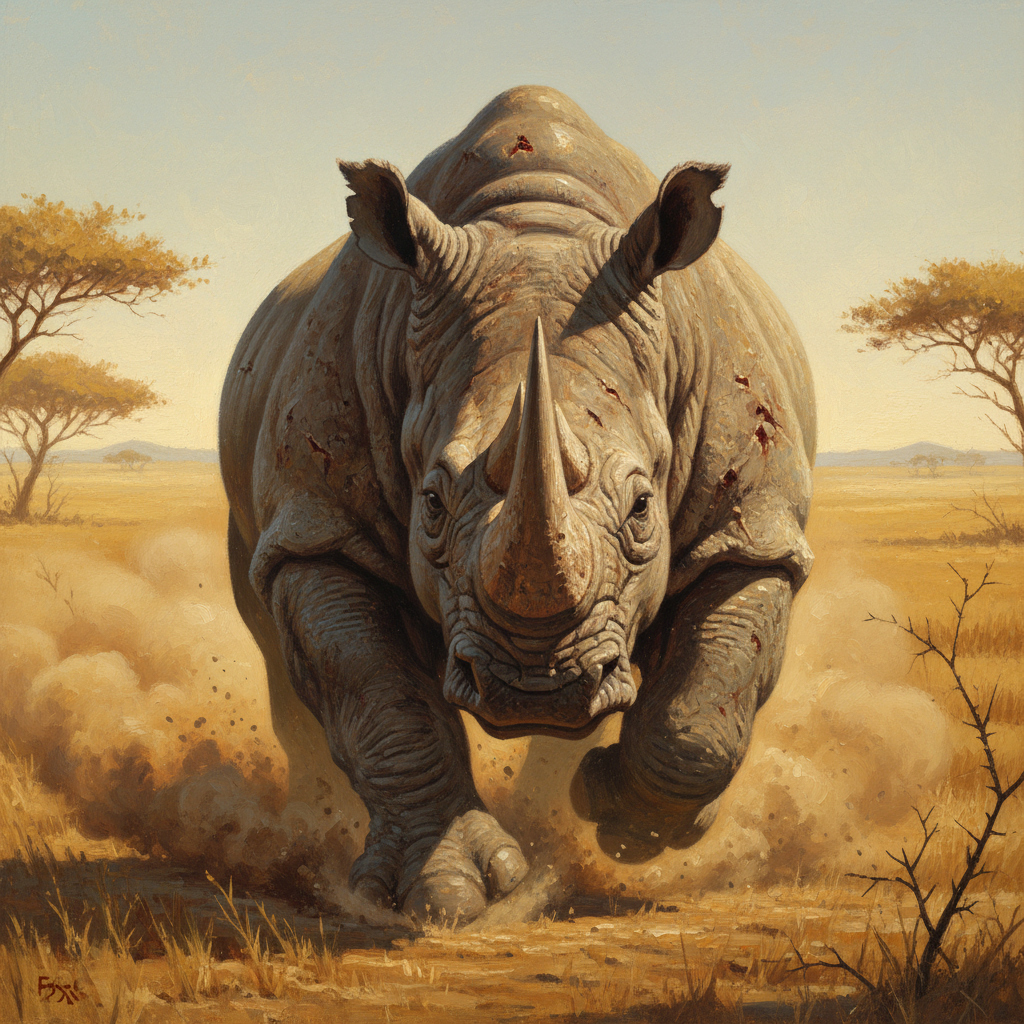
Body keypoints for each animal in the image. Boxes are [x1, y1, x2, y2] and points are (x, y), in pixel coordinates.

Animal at [220, 86, 815, 921]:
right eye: (431, 505)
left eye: (642, 509)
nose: (536, 687)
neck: (538, 225)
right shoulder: (320, 523)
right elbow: (382, 701)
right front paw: (445, 896)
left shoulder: (753, 523)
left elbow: (705, 712)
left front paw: (628, 821)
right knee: (277, 645)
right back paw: (312, 830)